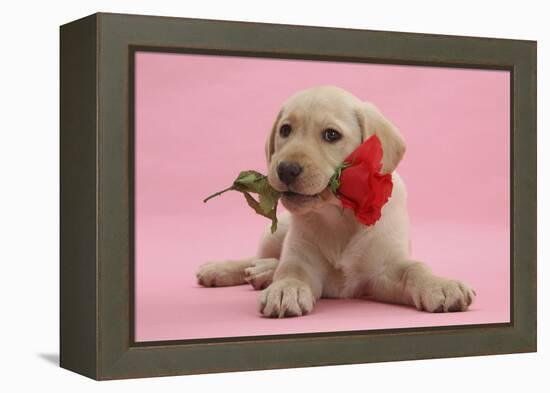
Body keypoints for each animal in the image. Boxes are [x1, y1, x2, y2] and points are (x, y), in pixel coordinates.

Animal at [196, 85, 476, 316]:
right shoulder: (303, 258)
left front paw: (440, 285)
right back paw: (226, 269)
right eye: (285, 130)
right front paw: (285, 289)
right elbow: (291, 269)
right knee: (260, 257)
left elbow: (414, 269)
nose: (286, 169)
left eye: (331, 135)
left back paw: (263, 272)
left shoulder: (384, 269)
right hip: (274, 232)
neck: (339, 214)